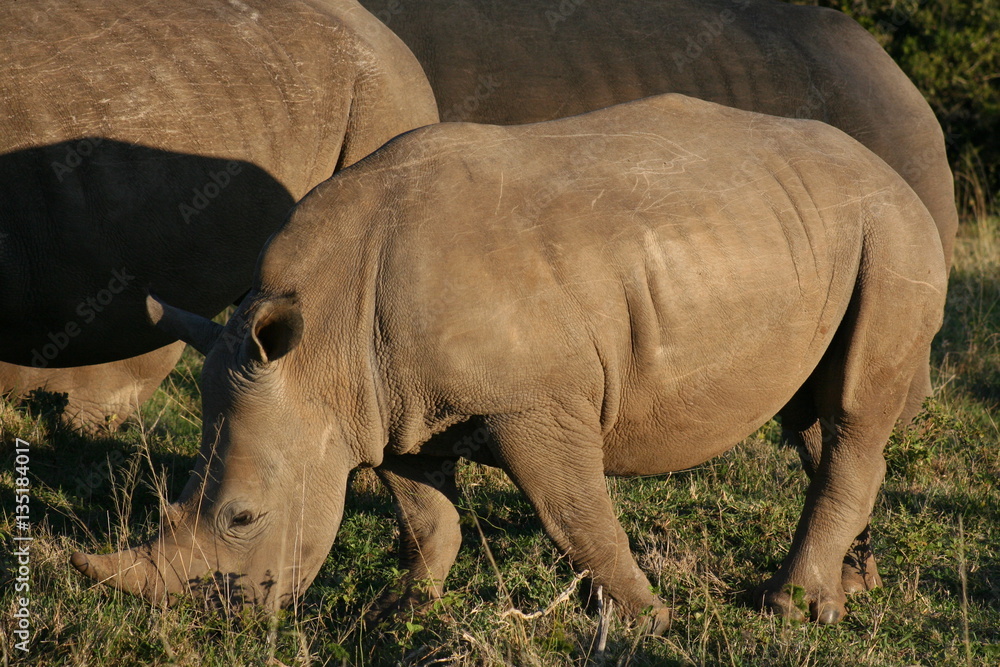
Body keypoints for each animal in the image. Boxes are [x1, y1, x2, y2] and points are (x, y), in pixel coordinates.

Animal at [71, 94, 946, 628]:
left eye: (243, 518)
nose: (209, 620)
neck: (322, 343)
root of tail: (893, 172)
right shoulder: (389, 404)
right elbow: (426, 513)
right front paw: (397, 612)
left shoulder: (534, 403)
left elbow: (574, 514)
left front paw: (646, 619)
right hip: (818, 232)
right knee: (814, 418)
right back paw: (846, 588)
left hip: (893, 233)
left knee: (850, 411)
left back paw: (787, 606)